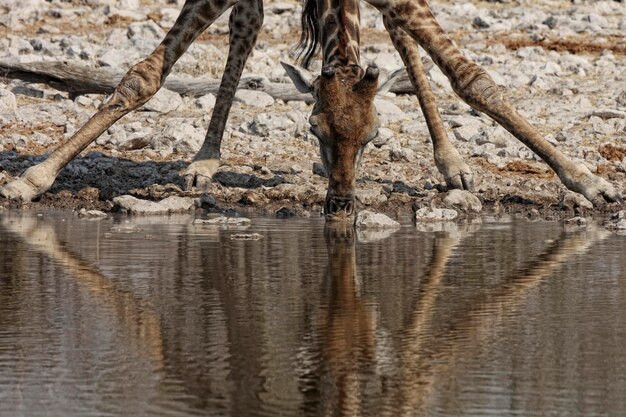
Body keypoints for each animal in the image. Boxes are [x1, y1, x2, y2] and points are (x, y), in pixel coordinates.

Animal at [0, 0, 620, 221]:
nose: (341, 205)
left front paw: (590, 182)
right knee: (245, 27)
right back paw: (204, 159)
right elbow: (143, 76)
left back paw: (452, 163)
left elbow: (471, 77)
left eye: (375, 137)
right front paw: (34, 178)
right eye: (311, 129)